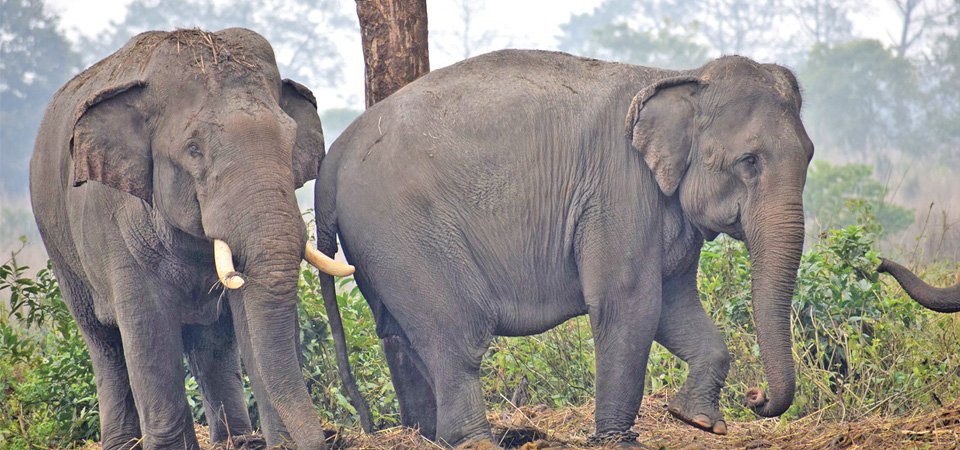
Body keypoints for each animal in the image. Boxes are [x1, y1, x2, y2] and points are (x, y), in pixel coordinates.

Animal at [31, 29, 360, 450]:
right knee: (104, 342)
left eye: (289, 142)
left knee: (211, 343)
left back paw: (235, 439)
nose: (333, 436)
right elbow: (148, 331)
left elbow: (247, 322)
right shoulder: (115, 227)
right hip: (60, 250)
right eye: (193, 149)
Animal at [318, 50, 812, 446]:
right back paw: (475, 442)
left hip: (381, 246)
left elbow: (674, 305)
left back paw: (424, 436)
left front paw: (698, 421)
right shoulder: (618, 189)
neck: (680, 76)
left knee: (397, 334)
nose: (755, 397)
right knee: (457, 336)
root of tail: (334, 155)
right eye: (749, 161)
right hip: (405, 231)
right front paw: (619, 441)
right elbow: (628, 303)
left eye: (808, 156)